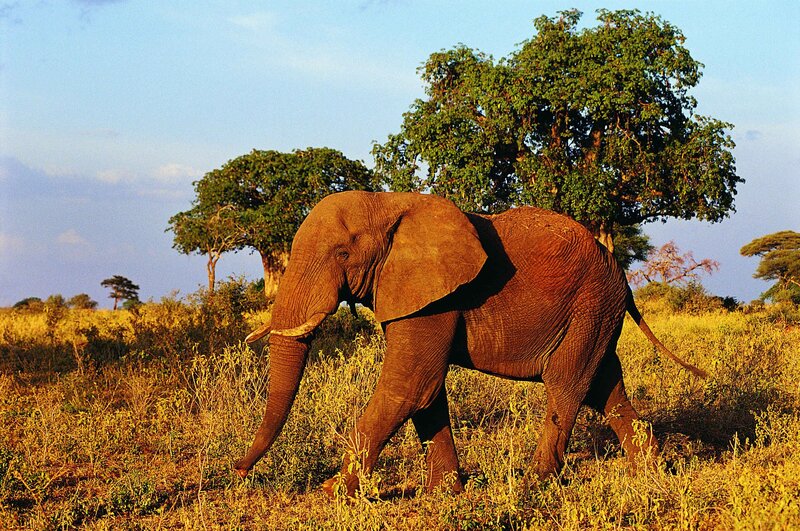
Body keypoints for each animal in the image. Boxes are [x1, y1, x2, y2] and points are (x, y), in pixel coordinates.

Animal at [233, 191, 705, 495]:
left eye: (342, 255)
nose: (238, 472)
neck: (389, 203)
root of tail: (620, 273)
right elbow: (426, 392)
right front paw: (445, 493)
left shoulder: (437, 294)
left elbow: (410, 384)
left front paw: (331, 492)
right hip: (597, 313)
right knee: (605, 387)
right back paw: (652, 471)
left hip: (591, 305)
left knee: (567, 384)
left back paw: (536, 482)